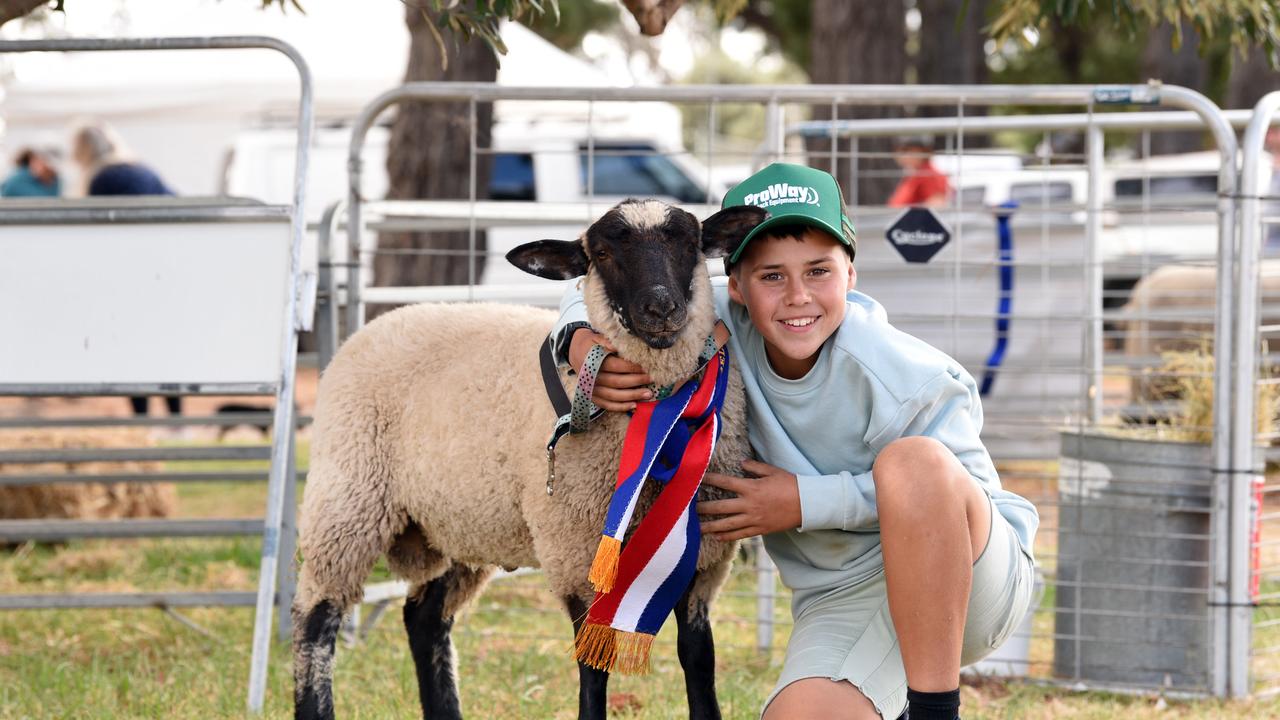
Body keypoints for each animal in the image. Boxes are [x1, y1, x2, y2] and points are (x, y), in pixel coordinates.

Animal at [293, 197, 768, 717]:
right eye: (602, 254)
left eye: (689, 243)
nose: (661, 308)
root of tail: (379, 324)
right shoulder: (577, 552)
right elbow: (592, 667)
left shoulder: (701, 556)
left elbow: (698, 656)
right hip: (348, 497)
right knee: (315, 616)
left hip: (459, 518)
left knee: (424, 618)